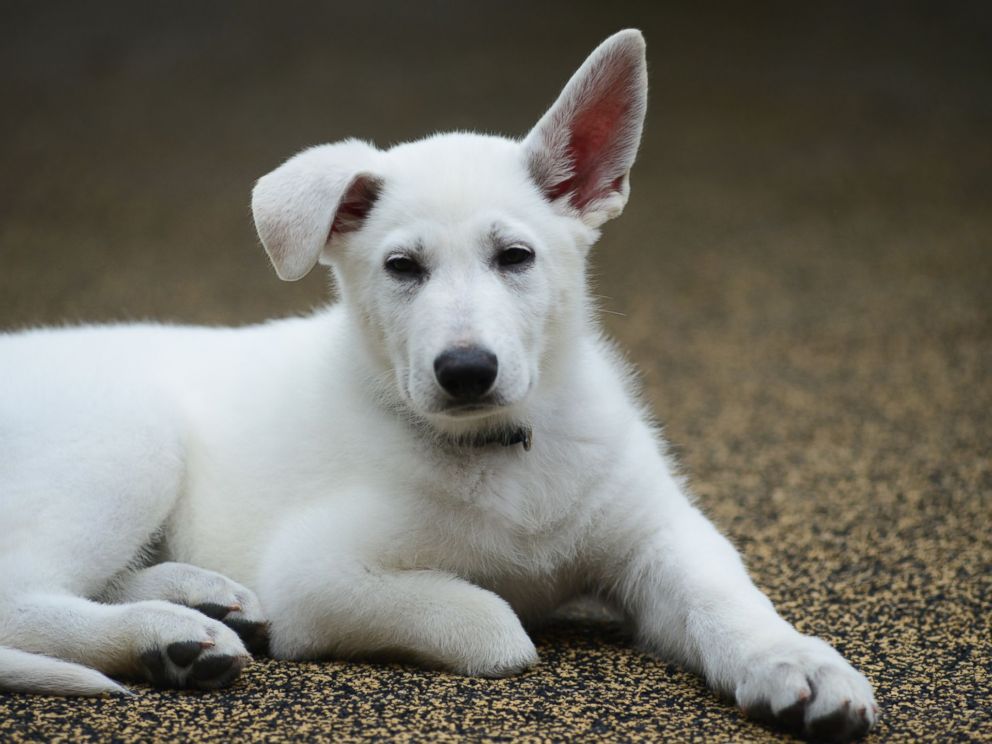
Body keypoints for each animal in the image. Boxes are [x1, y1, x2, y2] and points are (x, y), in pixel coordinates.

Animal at [0, 32, 876, 740]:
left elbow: (726, 599)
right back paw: (164, 635)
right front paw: (503, 612)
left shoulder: (658, 534)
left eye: (515, 257)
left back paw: (200, 606)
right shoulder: (318, 575)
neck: (505, 451)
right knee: (20, 593)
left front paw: (797, 665)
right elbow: (491, 623)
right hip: (125, 444)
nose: (465, 371)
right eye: (402, 268)